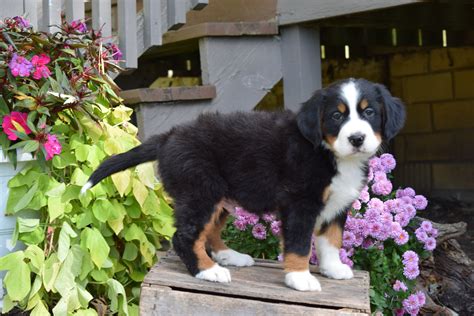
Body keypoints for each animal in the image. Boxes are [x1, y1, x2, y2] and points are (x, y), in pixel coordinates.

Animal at [81, 78, 404, 292]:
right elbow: (300, 244)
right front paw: (300, 277)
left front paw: (333, 268)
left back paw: (228, 257)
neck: (327, 151)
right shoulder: (299, 203)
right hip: (201, 190)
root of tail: (169, 136)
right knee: (185, 236)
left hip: (218, 196)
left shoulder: (336, 205)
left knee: (209, 232)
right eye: (337, 115)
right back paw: (209, 272)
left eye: (369, 112)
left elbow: (331, 240)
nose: (357, 138)